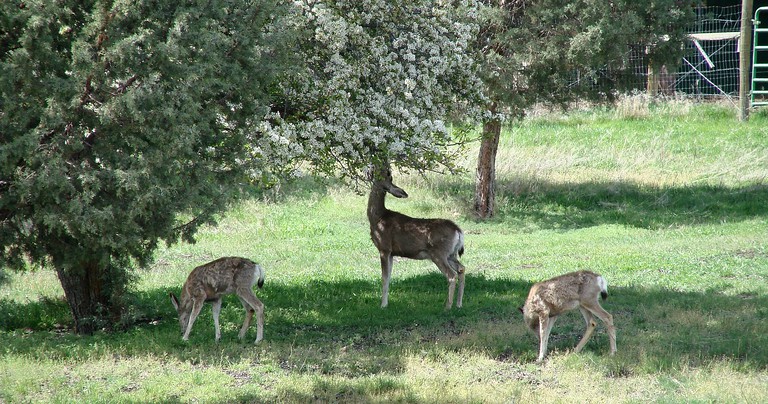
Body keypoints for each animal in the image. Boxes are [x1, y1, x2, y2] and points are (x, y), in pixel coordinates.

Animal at [368, 164, 464, 310]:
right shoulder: (392, 253)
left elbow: (384, 278)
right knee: (461, 269)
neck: (378, 218)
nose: (373, 166)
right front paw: (386, 303)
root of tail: (457, 230)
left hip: (438, 253)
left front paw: (383, 305)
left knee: (451, 275)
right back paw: (458, 304)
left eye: (386, 174)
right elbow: (389, 277)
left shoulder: (384, 248)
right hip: (451, 254)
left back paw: (447, 307)